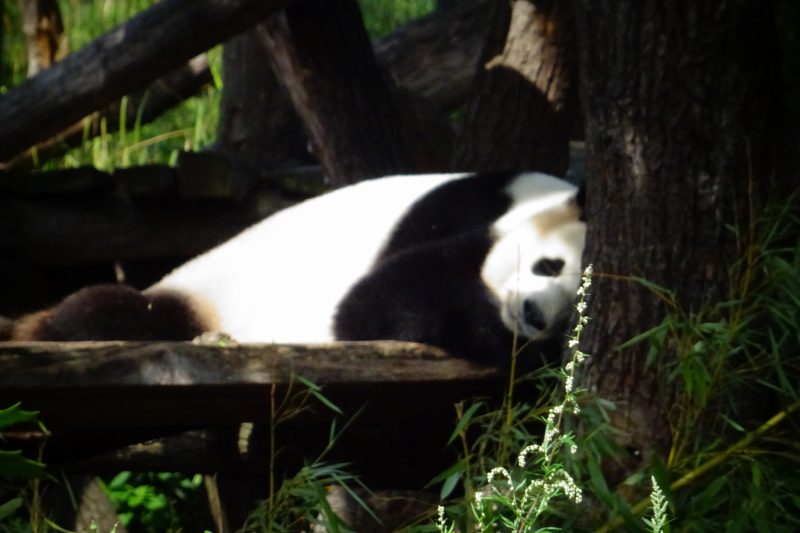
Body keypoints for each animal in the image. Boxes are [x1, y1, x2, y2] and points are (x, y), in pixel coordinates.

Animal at [10, 171, 585, 367]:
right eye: (548, 263)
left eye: (576, 314)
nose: (534, 315)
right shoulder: (461, 214)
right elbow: (378, 303)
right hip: (194, 295)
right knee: (111, 312)